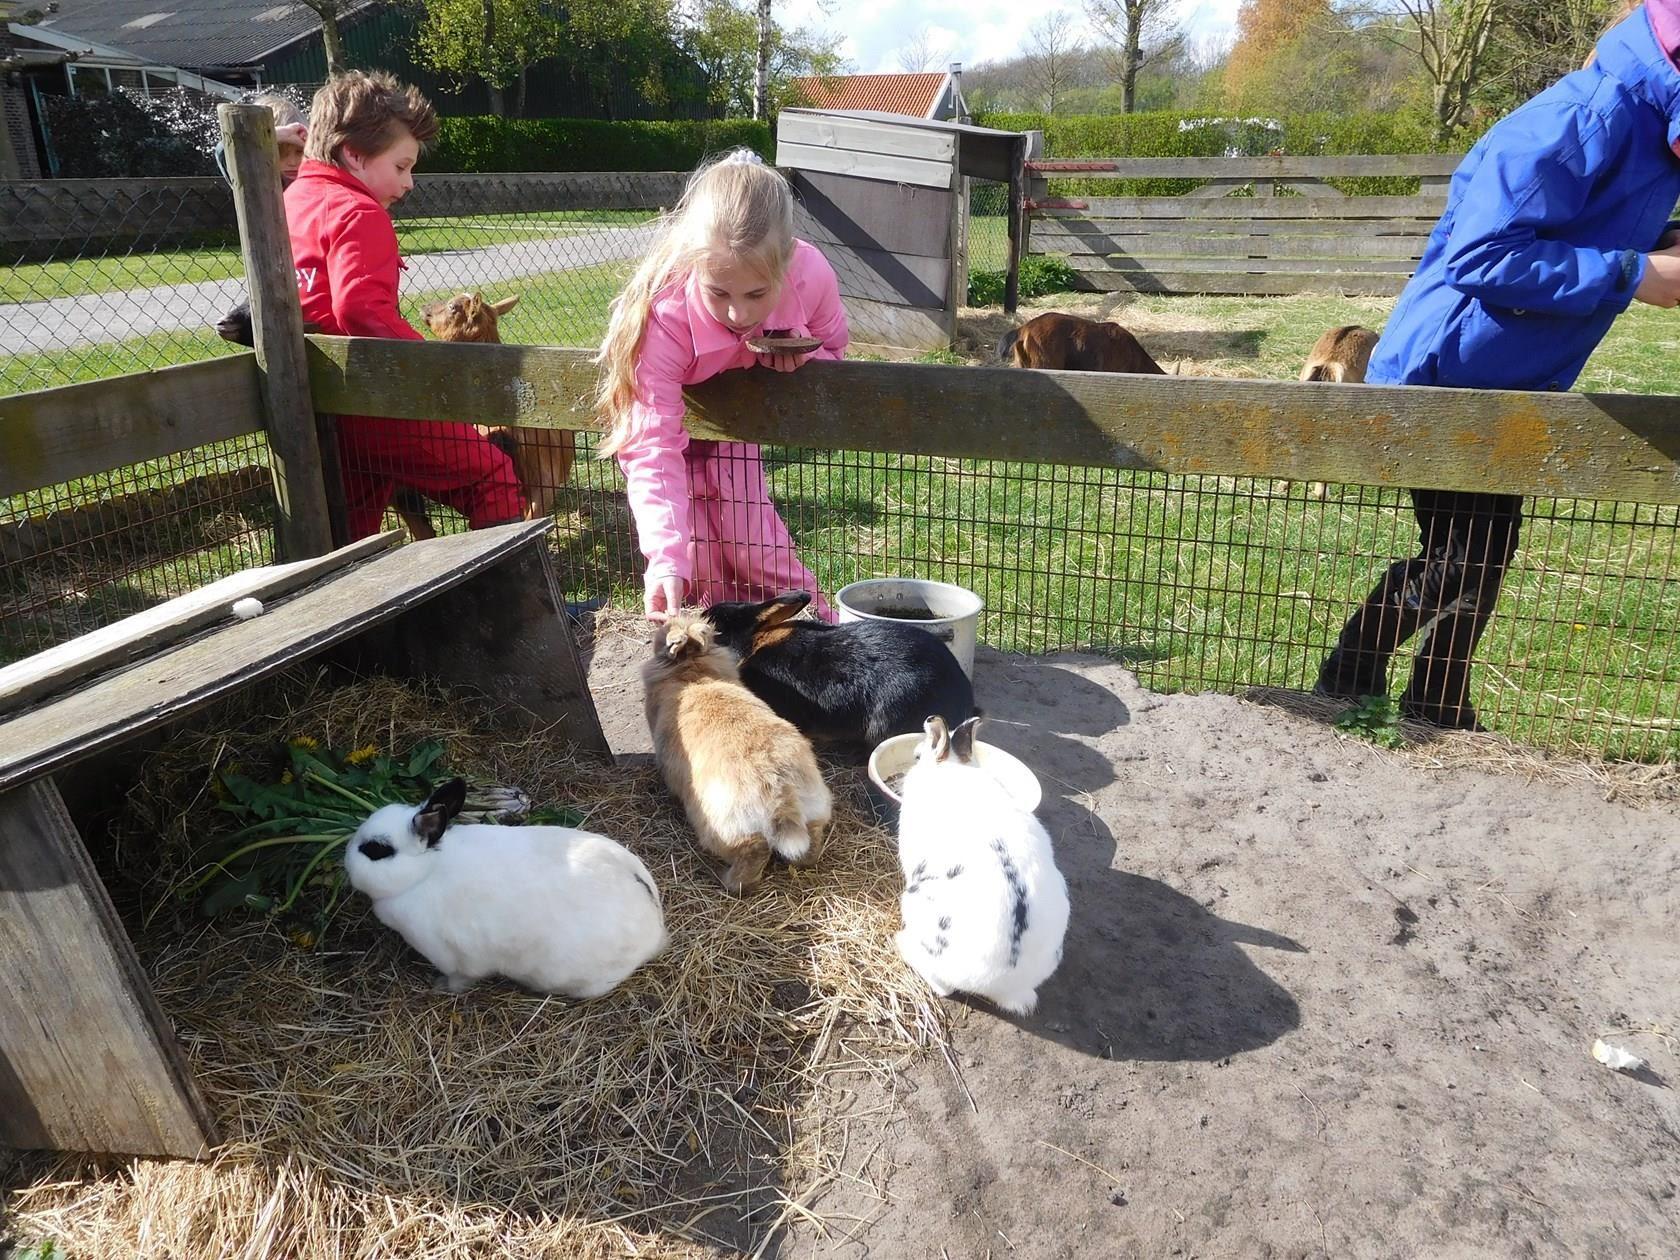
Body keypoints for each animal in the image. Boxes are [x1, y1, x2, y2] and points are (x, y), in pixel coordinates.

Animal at [344, 779, 665, 994]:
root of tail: (655, 929)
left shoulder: (455, 959)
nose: (345, 863)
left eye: (376, 850)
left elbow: (460, 979)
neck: (425, 872)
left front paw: (440, 987)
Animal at [638, 614, 829, 900]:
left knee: (752, 854)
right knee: (810, 846)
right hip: (814, 810)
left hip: (723, 828)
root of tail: (782, 794)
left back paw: (724, 879)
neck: (692, 674)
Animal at [893, 715, 1061, 1021]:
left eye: (917, 756)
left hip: (915, 905)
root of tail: (1004, 983)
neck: (952, 768)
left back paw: (902, 943)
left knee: (943, 987)